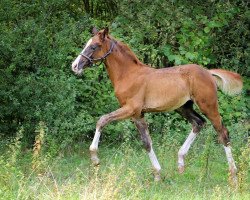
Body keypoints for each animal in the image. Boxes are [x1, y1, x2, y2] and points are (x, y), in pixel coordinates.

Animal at [72, 28, 242, 183]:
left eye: (94, 46)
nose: (75, 66)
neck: (128, 75)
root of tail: (207, 72)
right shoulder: (138, 114)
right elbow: (147, 143)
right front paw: (158, 174)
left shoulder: (131, 109)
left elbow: (102, 120)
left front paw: (95, 158)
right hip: (183, 107)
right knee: (198, 123)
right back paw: (180, 163)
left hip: (208, 106)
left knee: (222, 133)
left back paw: (233, 175)